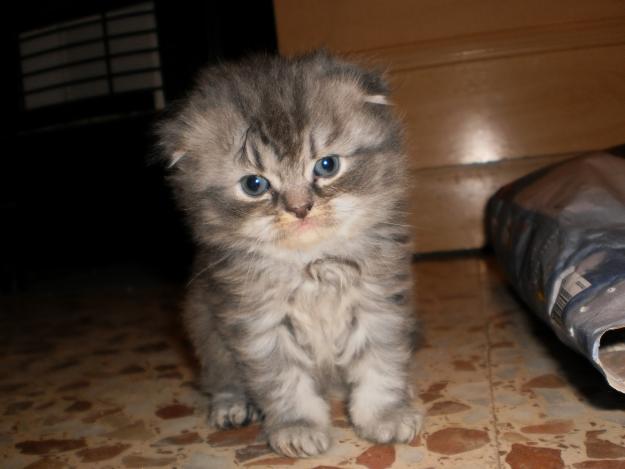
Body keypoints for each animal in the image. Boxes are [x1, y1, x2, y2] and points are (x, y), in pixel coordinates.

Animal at [156, 52, 422, 458]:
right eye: (254, 184)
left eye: (327, 165)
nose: (300, 208)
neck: (312, 264)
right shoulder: (261, 325)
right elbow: (286, 385)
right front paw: (299, 428)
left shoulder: (377, 305)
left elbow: (379, 366)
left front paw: (385, 415)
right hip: (205, 328)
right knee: (221, 378)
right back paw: (232, 404)